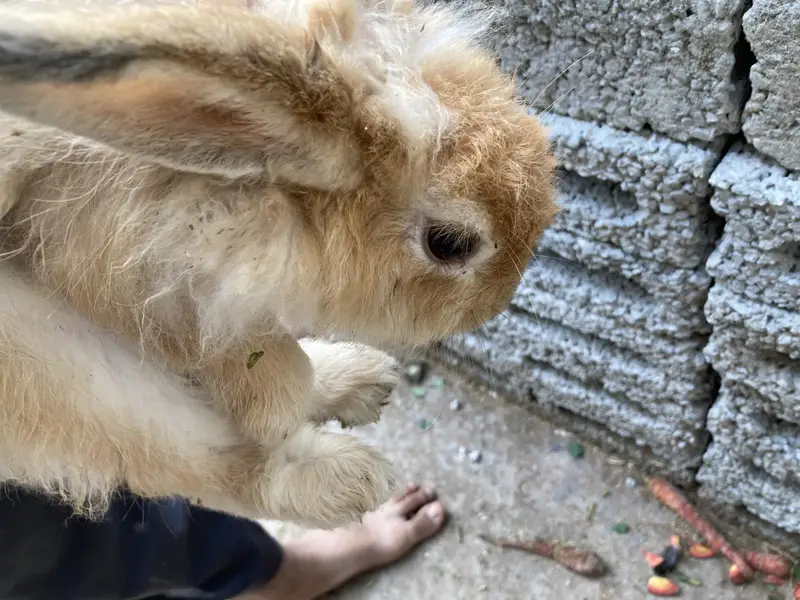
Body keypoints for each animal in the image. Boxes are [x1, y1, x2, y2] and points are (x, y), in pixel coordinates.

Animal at [0, 0, 557, 528]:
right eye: (449, 244)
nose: (500, 301)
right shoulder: (140, 273)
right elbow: (272, 376)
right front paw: (281, 412)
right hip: (45, 359)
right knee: (182, 457)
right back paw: (346, 477)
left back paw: (361, 380)